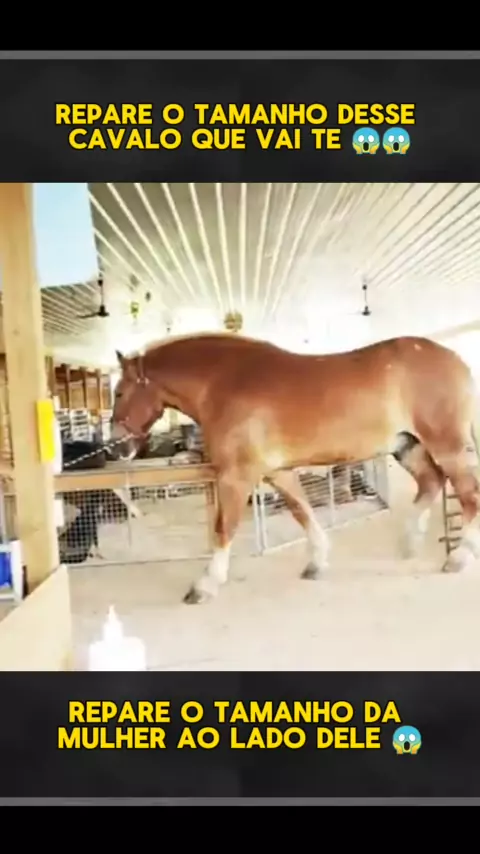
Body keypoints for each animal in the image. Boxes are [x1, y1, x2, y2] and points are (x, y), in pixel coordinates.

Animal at [109, 332, 480, 605]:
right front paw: (316, 563)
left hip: (446, 446)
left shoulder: (236, 475)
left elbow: (223, 527)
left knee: (468, 494)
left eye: (119, 392)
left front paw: (205, 585)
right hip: (407, 447)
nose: (116, 446)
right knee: (431, 483)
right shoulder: (277, 472)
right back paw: (409, 543)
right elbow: (302, 511)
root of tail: (455, 359)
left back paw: (459, 557)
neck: (224, 383)